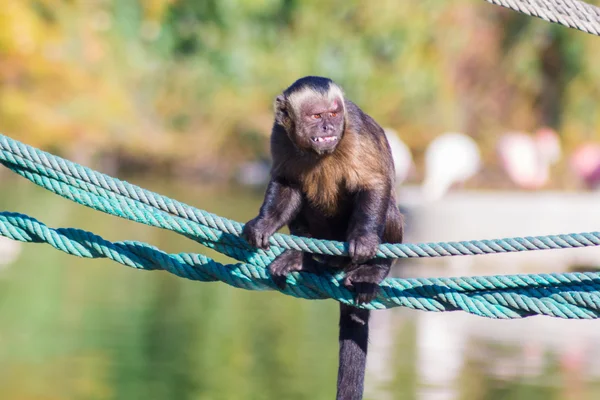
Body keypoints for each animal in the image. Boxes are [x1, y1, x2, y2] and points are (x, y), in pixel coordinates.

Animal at [243, 76, 404, 400]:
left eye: (333, 114)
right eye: (316, 116)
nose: (328, 127)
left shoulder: (355, 130)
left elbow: (373, 183)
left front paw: (364, 240)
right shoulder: (279, 134)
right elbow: (286, 183)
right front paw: (264, 223)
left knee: (387, 204)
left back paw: (374, 270)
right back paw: (306, 260)